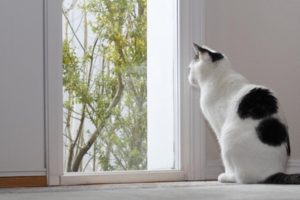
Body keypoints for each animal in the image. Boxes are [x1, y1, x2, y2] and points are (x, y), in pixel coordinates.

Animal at [188, 43, 300, 184]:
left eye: (190, 68)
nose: (188, 77)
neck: (219, 76)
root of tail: (274, 172)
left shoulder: (219, 129)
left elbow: (225, 161)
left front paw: (226, 174)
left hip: (227, 138)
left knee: (242, 178)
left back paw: (228, 177)